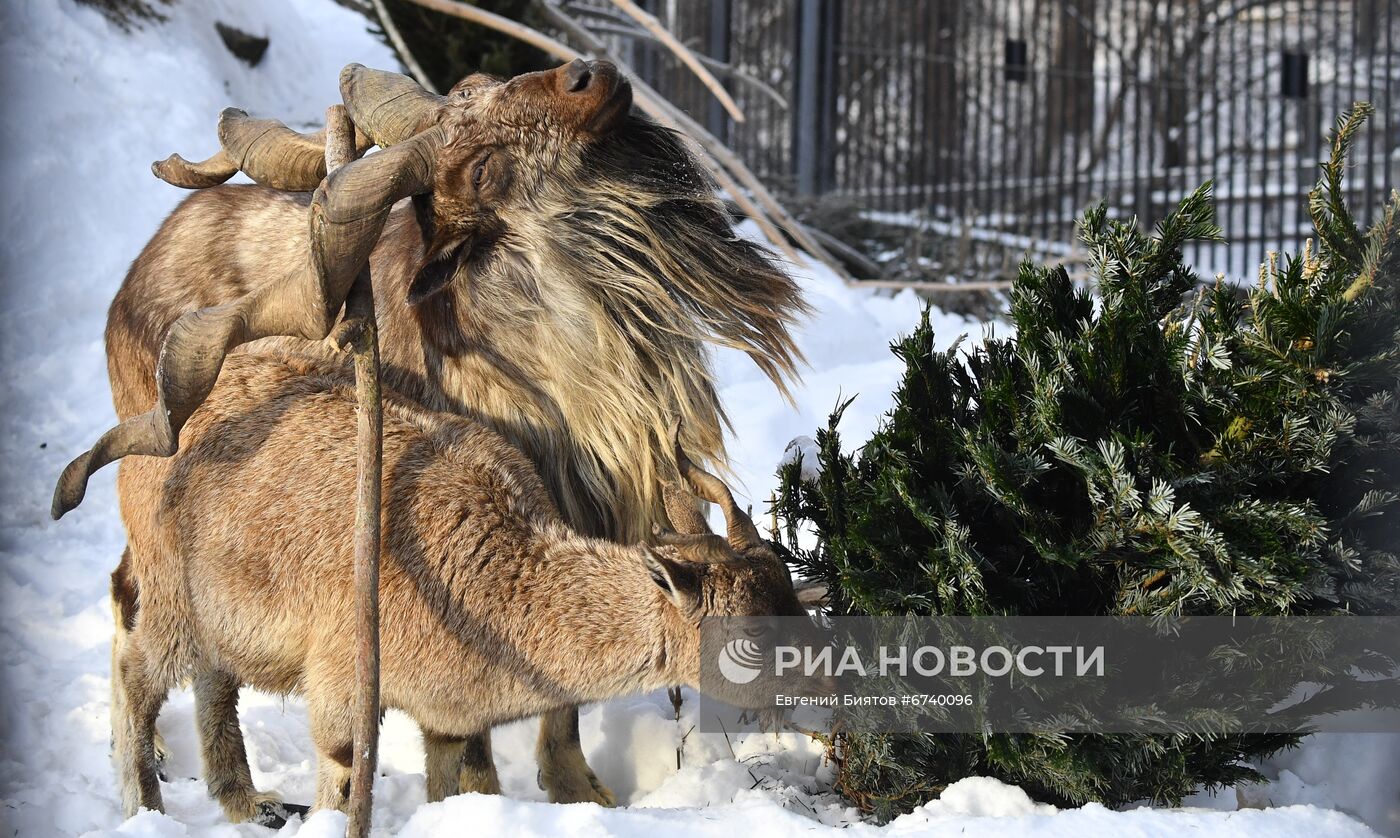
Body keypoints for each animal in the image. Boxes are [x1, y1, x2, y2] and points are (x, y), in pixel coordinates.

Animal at [113, 351, 806, 822]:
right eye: (750, 635)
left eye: (792, 593)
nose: (821, 683)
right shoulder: (340, 676)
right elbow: (342, 765)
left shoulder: (446, 718)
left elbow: (446, 782)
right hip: (172, 589)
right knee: (136, 670)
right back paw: (145, 801)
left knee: (213, 679)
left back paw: (248, 803)